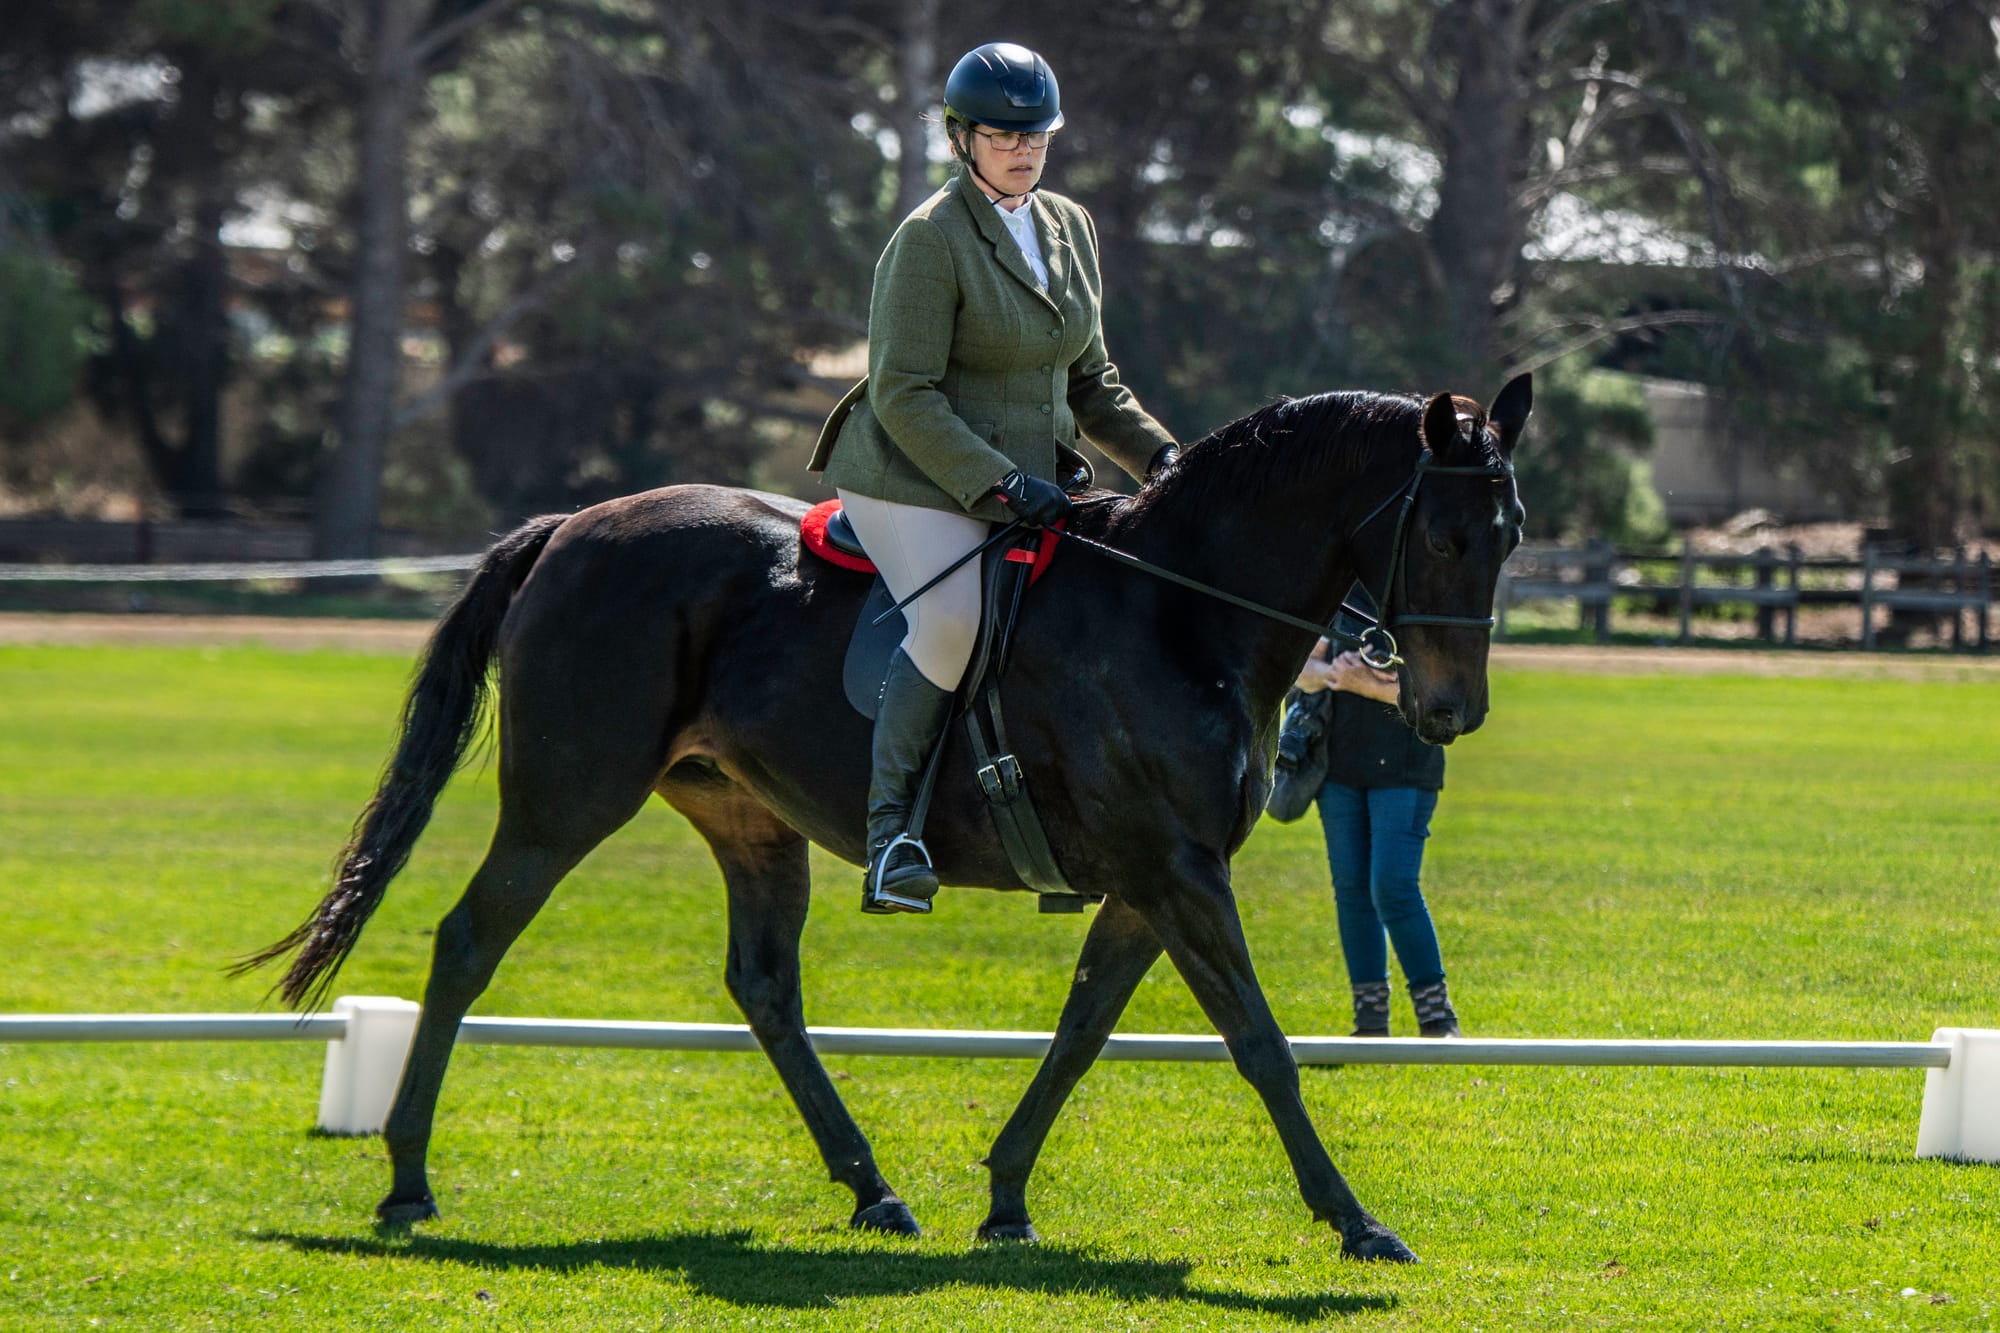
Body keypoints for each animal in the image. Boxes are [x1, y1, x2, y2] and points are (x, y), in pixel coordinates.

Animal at [242, 374, 1531, 1263]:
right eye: (1442, 534)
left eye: (1508, 535)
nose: (1446, 711)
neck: (1177, 610)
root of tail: (570, 524)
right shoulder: (1174, 871)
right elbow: (1258, 1043)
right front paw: (1356, 1221)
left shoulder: (1152, 877)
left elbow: (1081, 1029)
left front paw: (1004, 1195)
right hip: (567, 801)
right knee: (468, 941)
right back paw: (407, 1179)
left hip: (746, 819)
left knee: (764, 986)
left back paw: (871, 1187)